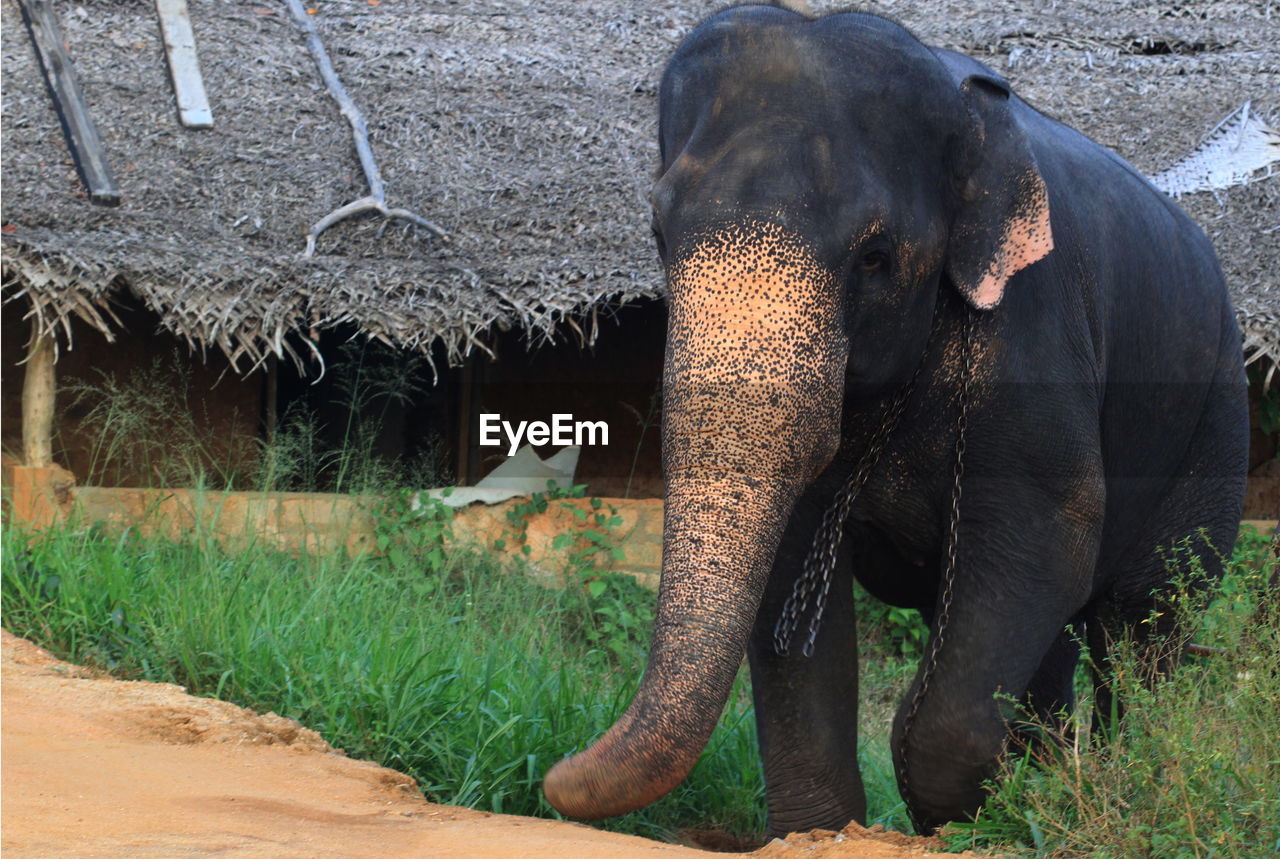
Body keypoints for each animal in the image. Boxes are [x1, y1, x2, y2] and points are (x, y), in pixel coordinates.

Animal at [542, 3, 1249, 839]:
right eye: (656, 232)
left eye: (875, 255)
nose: (554, 773)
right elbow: (793, 581)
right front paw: (821, 832)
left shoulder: (1034, 332)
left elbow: (1051, 531)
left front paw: (962, 808)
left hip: (1216, 422)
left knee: (1147, 626)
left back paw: (1116, 788)